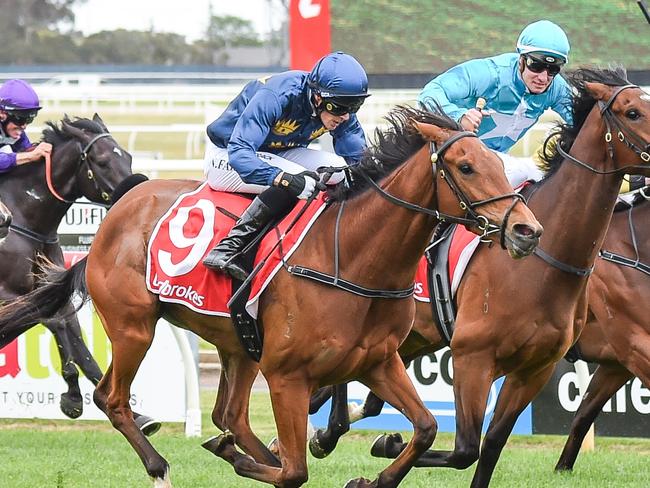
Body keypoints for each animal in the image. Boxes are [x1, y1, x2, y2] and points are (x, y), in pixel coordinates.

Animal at [0, 115, 133, 420]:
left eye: (128, 157)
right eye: (103, 161)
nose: (135, 191)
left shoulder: (53, 288)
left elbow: (76, 337)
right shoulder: (7, 295)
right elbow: (55, 321)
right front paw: (72, 396)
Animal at [310, 66, 650, 486]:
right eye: (633, 112)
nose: (525, 234)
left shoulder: (538, 368)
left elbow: (492, 445)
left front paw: (384, 445)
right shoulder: (473, 356)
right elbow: (465, 449)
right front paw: (383, 452)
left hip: (414, 338)